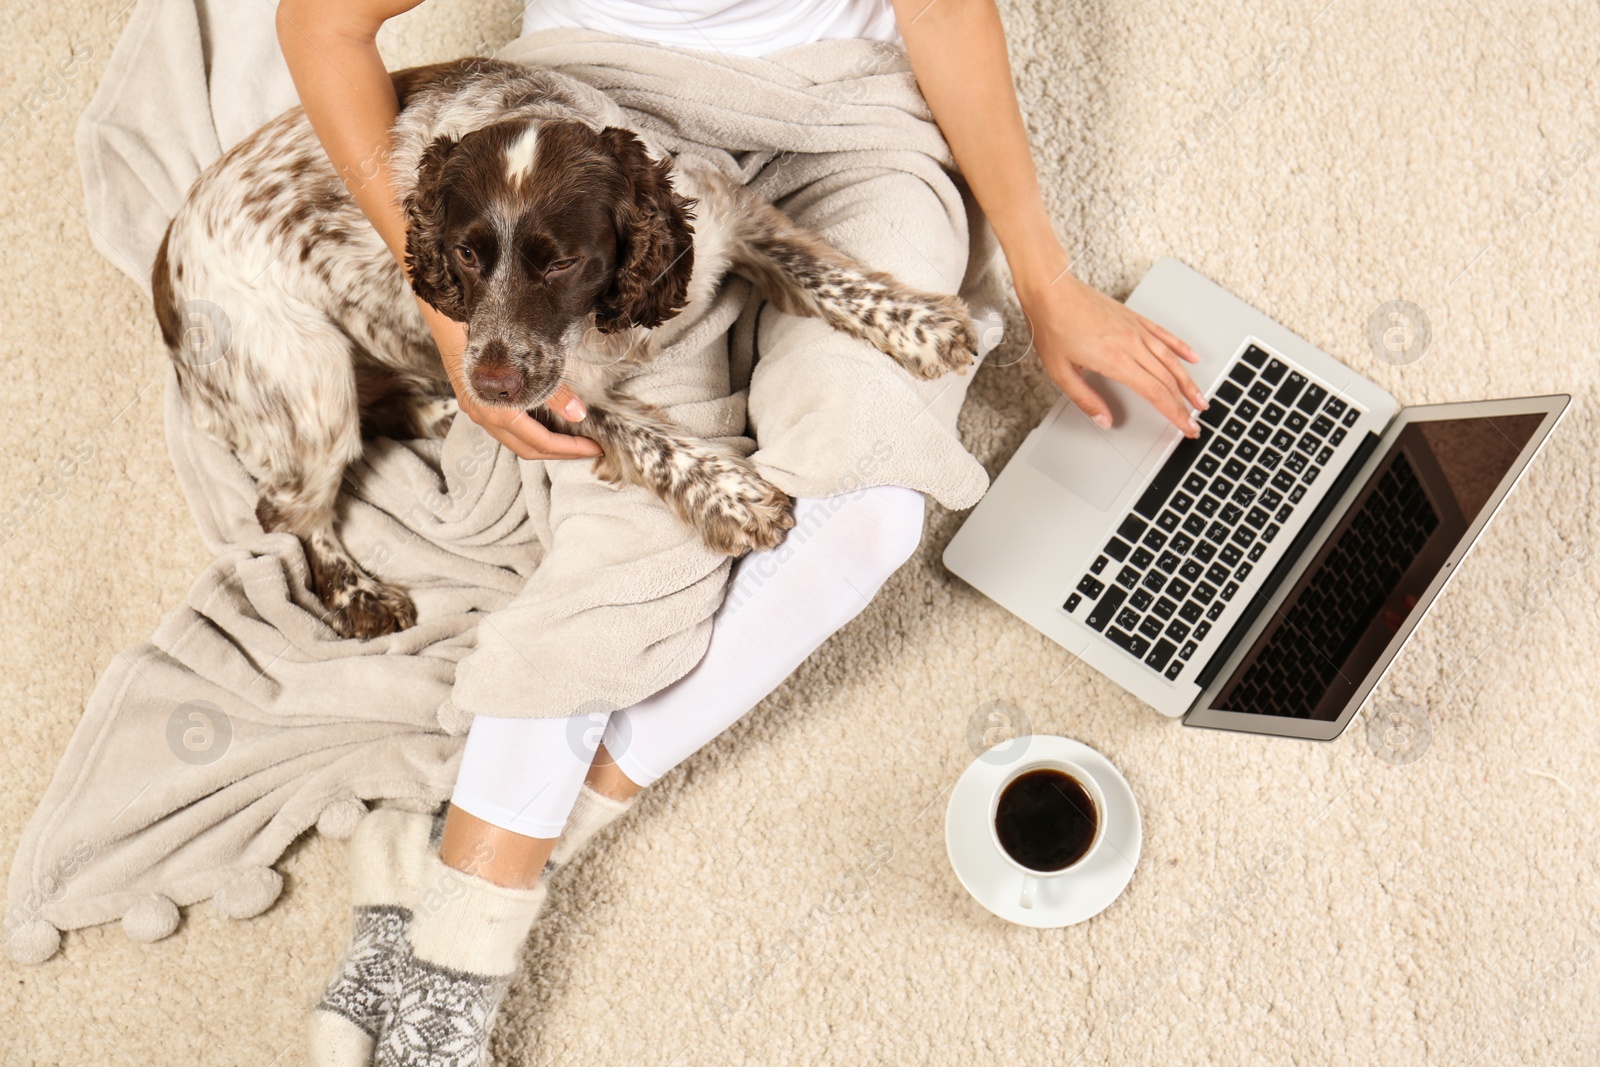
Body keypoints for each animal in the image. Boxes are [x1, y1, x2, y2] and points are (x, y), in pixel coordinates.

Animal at [152, 58, 972, 639]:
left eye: (562, 262)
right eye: (465, 255)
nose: (487, 386)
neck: (607, 322)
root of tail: (166, 257)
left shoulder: (728, 223)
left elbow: (826, 276)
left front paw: (921, 326)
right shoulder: (553, 394)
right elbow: (648, 438)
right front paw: (734, 497)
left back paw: (437, 413)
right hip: (304, 380)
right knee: (286, 508)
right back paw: (360, 592)